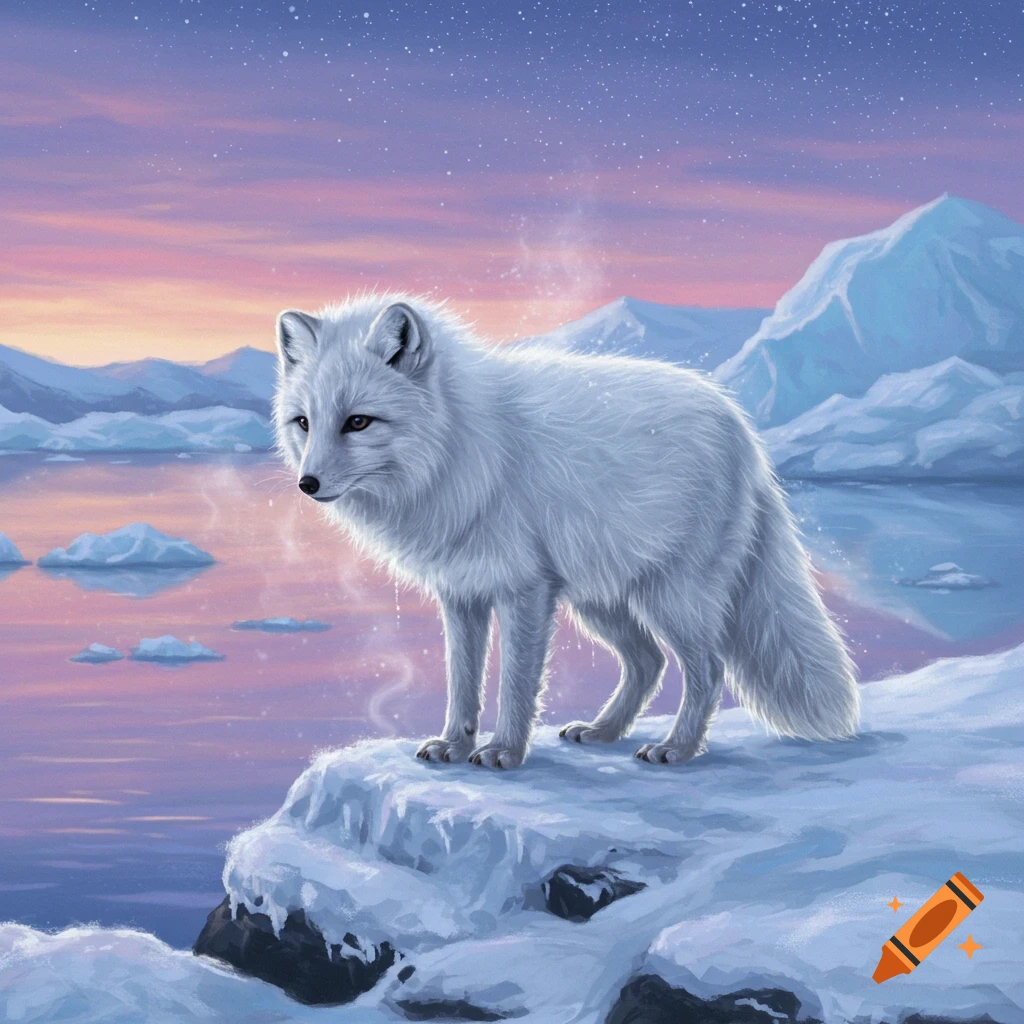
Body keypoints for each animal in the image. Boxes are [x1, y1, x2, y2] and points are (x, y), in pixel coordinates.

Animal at [273, 293, 859, 770]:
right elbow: (462, 683)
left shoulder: (524, 591)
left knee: (709, 670)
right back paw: (604, 731)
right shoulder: (461, 593)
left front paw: (505, 752)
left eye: (358, 422)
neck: (462, 446)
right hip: (601, 602)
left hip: (672, 598)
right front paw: (455, 745)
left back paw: (677, 748)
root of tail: (741, 428)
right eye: (304, 422)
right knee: (648, 662)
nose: (307, 483)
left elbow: (514, 684)